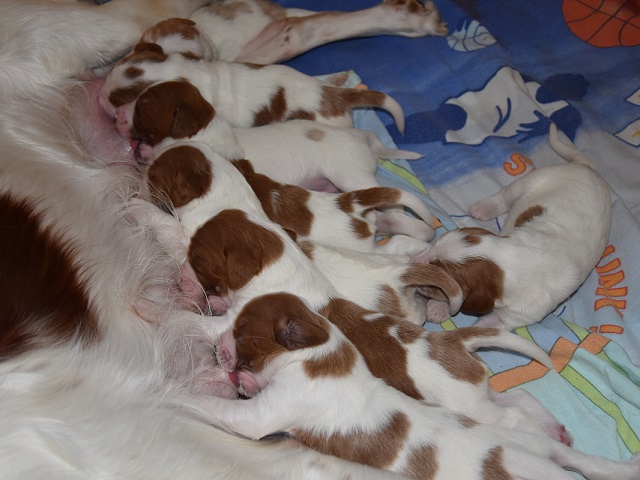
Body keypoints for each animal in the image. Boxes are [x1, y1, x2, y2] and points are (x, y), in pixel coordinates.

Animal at [209, 292, 640, 480]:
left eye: (241, 332)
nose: (218, 348)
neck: (320, 350)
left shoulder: (261, 414)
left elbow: (220, 407)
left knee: (518, 411)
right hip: (493, 410)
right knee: (532, 409)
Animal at [415, 124, 613, 329]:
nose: (414, 262)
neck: (507, 257)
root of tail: (587, 168)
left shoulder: (510, 317)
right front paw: (438, 308)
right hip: (530, 180)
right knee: (504, 196)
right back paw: (482, 209)